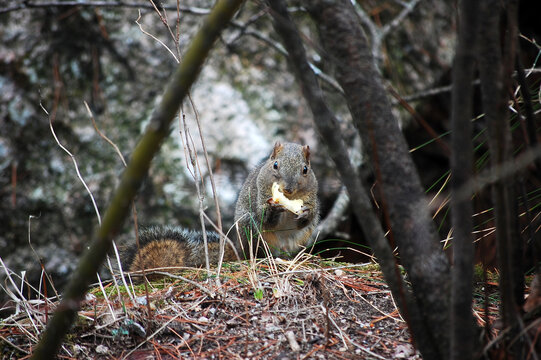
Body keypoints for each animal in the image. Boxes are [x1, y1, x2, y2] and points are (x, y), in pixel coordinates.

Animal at [122, 142, 316, 274]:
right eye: (275, 165)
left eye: (305, 169)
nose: (288, 189)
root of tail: (240, 251)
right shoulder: (259, 192)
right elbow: (265, 217)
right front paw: (274, 209)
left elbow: (309, 217)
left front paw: (306, 213)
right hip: (252, 232)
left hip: (300, 239)